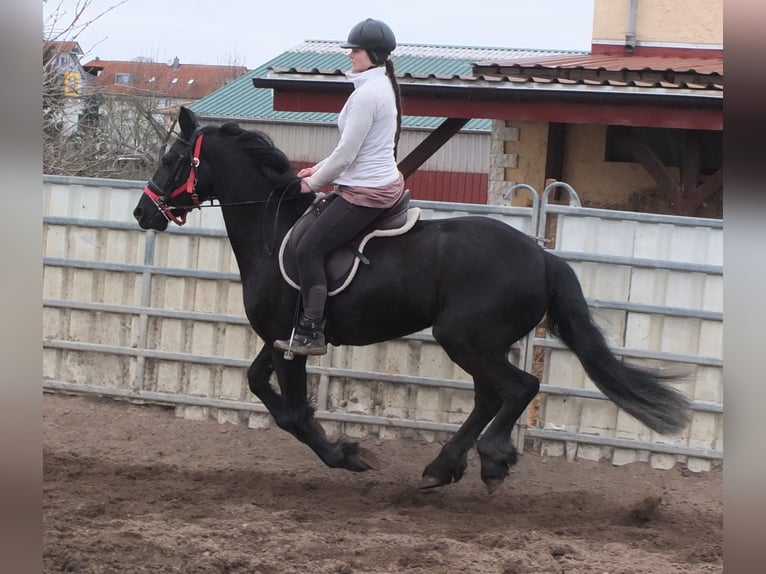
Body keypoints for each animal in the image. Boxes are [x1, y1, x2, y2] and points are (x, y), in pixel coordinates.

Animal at [135, 107, 692, 490]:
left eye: (172, 159)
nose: (144, 212)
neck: (274, 230)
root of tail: (541, 255)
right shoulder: (281, 338)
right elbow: (259, 387)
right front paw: (337, 442)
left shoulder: (290, 343)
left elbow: (291, 414)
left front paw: (347, 455)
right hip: (479, 344)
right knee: (493, 395)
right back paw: (447, 466)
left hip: (464, 338)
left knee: (518, 388)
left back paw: (488, 460)